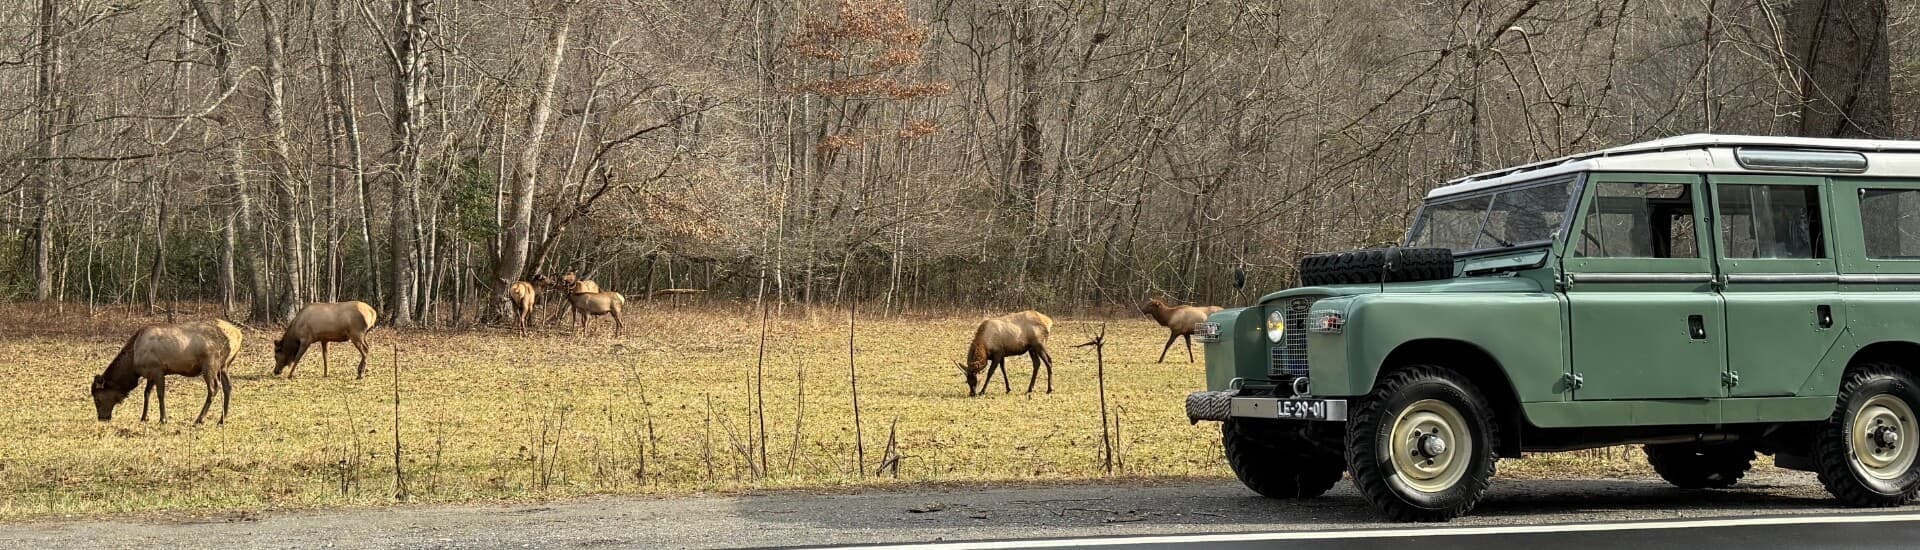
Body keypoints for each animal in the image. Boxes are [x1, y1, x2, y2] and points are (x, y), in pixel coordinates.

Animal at [90, 319, 243, 425]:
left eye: (97, 398)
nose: (102, 418)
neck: (133, 362)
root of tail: (237, 336)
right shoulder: (150, 374)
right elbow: (147, 393)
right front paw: (144, 417)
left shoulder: (157, 369)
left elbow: (160, 394)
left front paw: (163, 419)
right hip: (224, 366)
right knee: (228, 387)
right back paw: (222, 419)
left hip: (210, 365)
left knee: (213, 388)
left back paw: (199, 419)